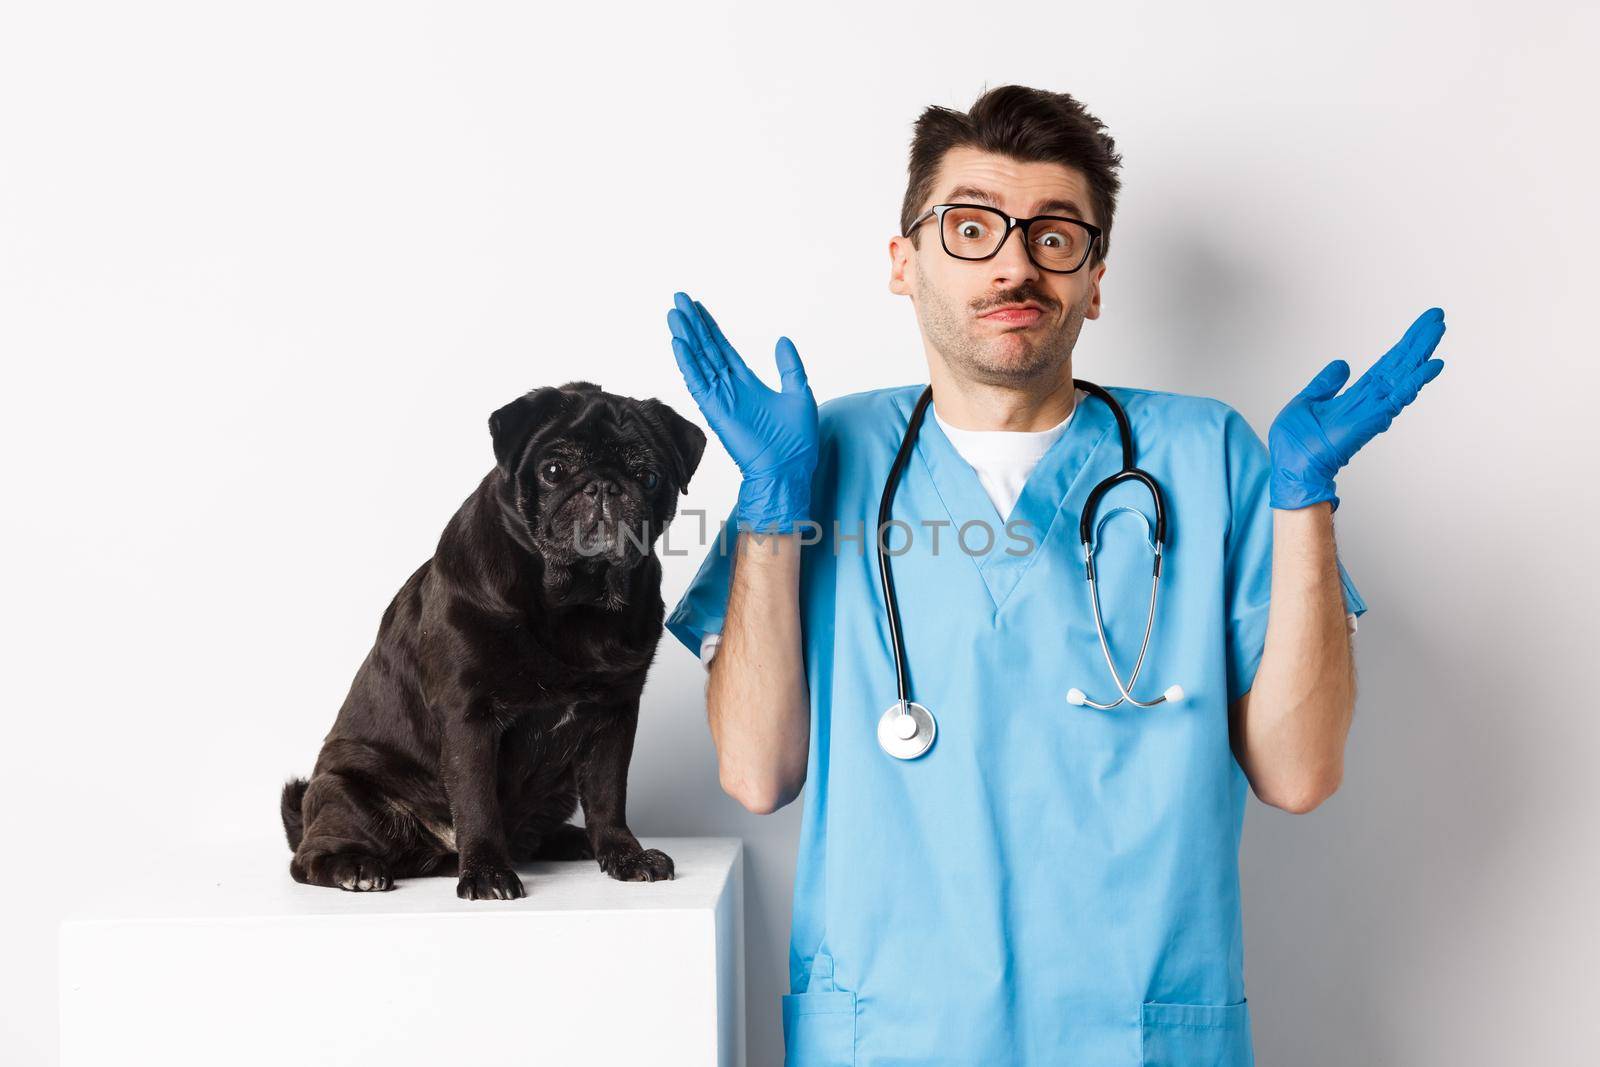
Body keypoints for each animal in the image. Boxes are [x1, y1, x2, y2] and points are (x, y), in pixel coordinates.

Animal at [278, 379, 704, 895]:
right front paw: (485, 872)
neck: (575, 601)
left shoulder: (614, 716)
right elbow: (477, 802)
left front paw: (625, 855)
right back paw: (356, 868)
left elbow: (608, 797)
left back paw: (569, 840)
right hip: (348, 795)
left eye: (648, 477)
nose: (603, 485)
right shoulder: (470, 718)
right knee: (308, 857)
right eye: (554, 470)